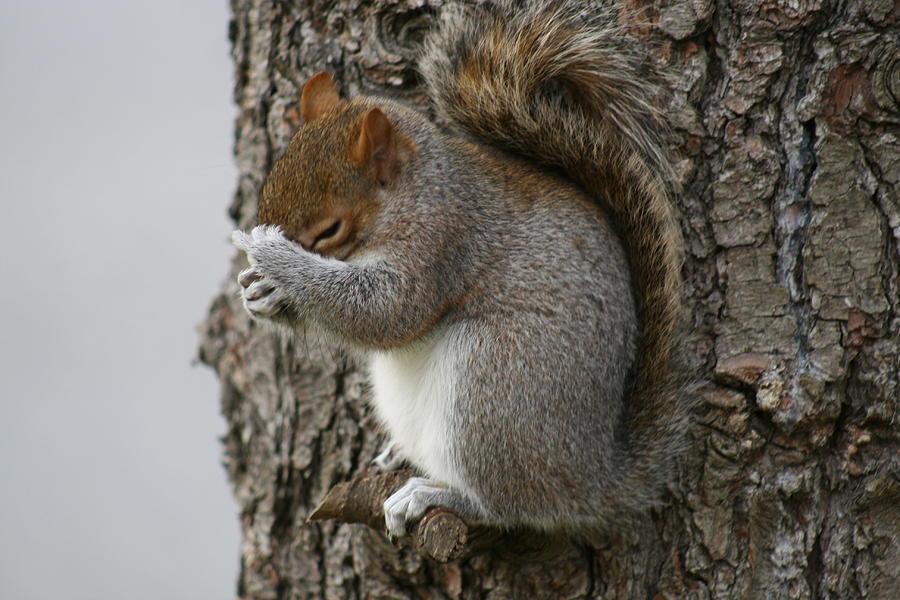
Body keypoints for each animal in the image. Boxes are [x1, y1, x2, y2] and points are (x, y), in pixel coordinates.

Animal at [232, 0, 692, 536]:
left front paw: (274, 258)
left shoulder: (441, 239)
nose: (264, 255)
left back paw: (435, 494)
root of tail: (594, 478)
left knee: (510, 506)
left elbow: (385, 313)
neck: (416, 190)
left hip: (494, 387)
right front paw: (258, 293)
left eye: (330, 230)